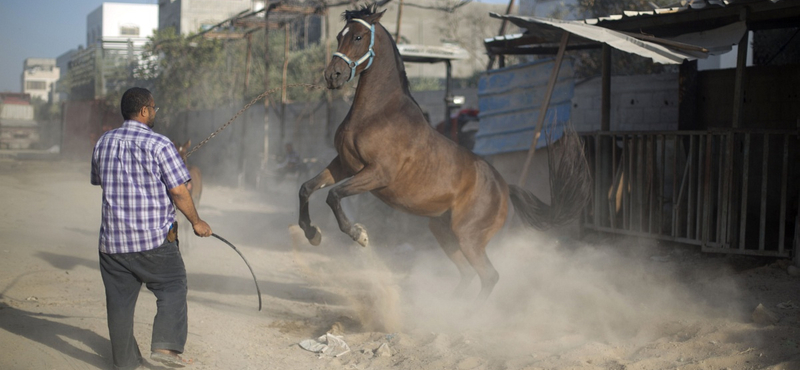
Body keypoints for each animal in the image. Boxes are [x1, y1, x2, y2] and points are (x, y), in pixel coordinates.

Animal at [296, 4, 592, 300]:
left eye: (358, 37)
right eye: (339, 36)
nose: (332, 76)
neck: (377, 114)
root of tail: (504, 187)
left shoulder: (378, 174)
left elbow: (334, 195)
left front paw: (359, 234)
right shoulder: (344, 165)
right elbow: (307, 188)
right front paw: (312, 234)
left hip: (469, 237)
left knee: (489, 276)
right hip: (443, 231)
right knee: (469, 274)